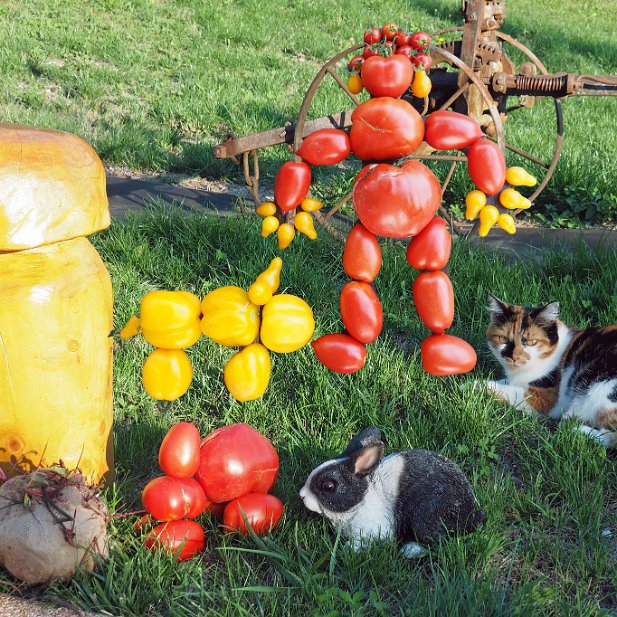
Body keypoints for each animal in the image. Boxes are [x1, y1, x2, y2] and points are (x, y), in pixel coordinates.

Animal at [300, 428, 486, 552]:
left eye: (328, 486)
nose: (302, 495)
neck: (361, 501)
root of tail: (470, 513)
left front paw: (349, 549)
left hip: (425, 517)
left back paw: (411, 550)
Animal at [482, 294, 616, 448]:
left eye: (531, 342)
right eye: (502, 339)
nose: (514, 357)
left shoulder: (546, 399)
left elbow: (506, 390)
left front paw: (471, 385)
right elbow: (505, 382)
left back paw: (577, 429)